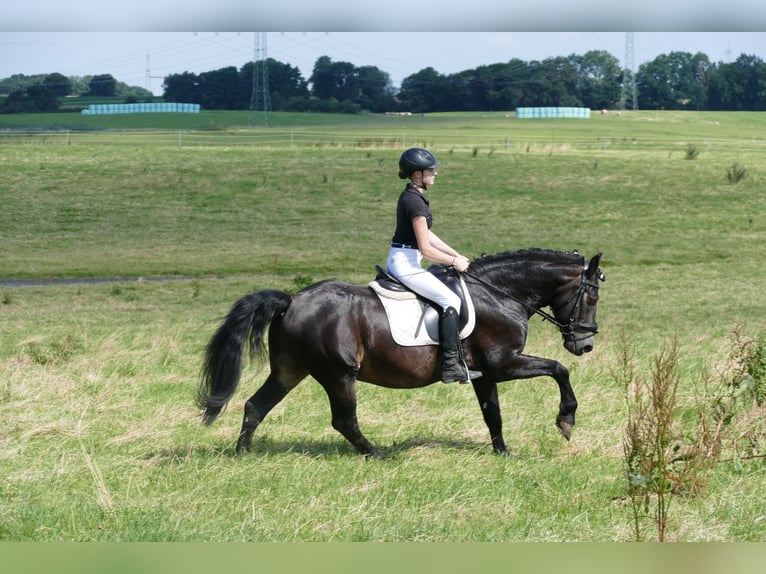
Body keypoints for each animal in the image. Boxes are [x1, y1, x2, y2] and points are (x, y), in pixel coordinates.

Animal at [196, 248, 608, 460]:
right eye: (591, 296)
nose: (584, 345)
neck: (500, 293)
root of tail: (291, 299)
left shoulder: (487, 373)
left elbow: (493, 414)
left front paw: (502, 453)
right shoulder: (504, 363)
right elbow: (559, 369)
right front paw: (566, 420)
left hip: (290, 370)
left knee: (256, 405)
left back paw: (243, 454)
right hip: (337, 373)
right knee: (343, 420)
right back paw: (377, 455)